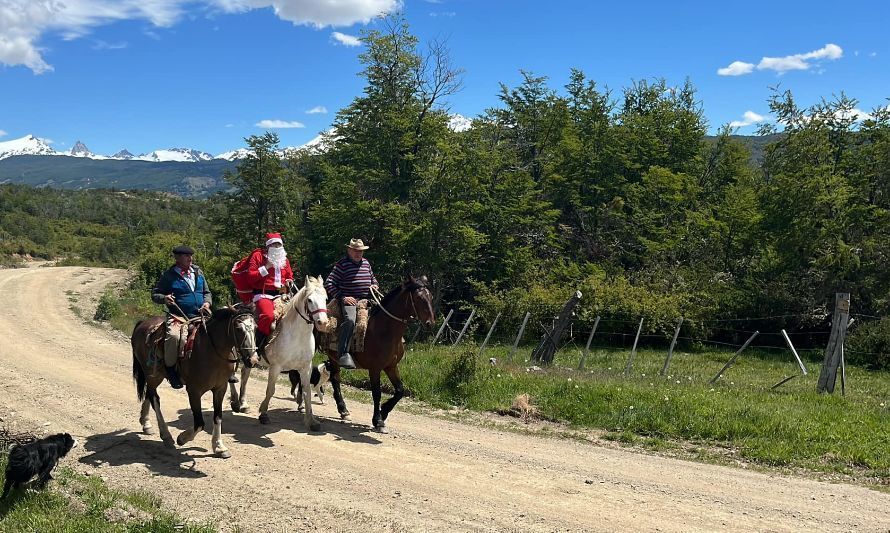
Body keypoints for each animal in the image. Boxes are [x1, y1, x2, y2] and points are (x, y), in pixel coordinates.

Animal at [132, 304, 256, 458]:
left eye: (255, 327)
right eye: (239, 328)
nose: (253, 360)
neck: (211, 351)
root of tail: (143, 323)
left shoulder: (220, 388)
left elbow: (218, 417)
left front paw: (219, 447)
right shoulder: (194, 391)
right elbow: (199, 423)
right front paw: (182, 438)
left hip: (155, 376)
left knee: (149, 394)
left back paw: (146, 423)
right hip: (152, 375)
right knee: (155, 399)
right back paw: (166, 436)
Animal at [225, 276, 330, 430]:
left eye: (326, 298)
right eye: (310, 300)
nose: (323, 322)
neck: (297, 335)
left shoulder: (306, 368)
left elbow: (307, 392)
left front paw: (311, 421)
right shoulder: (276, 367)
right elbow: (271, 390)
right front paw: (263, 414)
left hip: (249, 358)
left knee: (244, 376)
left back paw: (243, 404)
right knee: (232, 376)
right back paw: (235, 402)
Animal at [326, 274, 438, 432]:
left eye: (431, 297)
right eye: (417, 297)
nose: (430, 323)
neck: (384, 330)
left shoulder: (391, 366)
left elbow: (400, 390)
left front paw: (384, 412)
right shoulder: (375, 368)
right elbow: (377, 393)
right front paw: (377, 420)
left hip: (334, 358)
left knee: (335, 379)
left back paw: (343, 411)